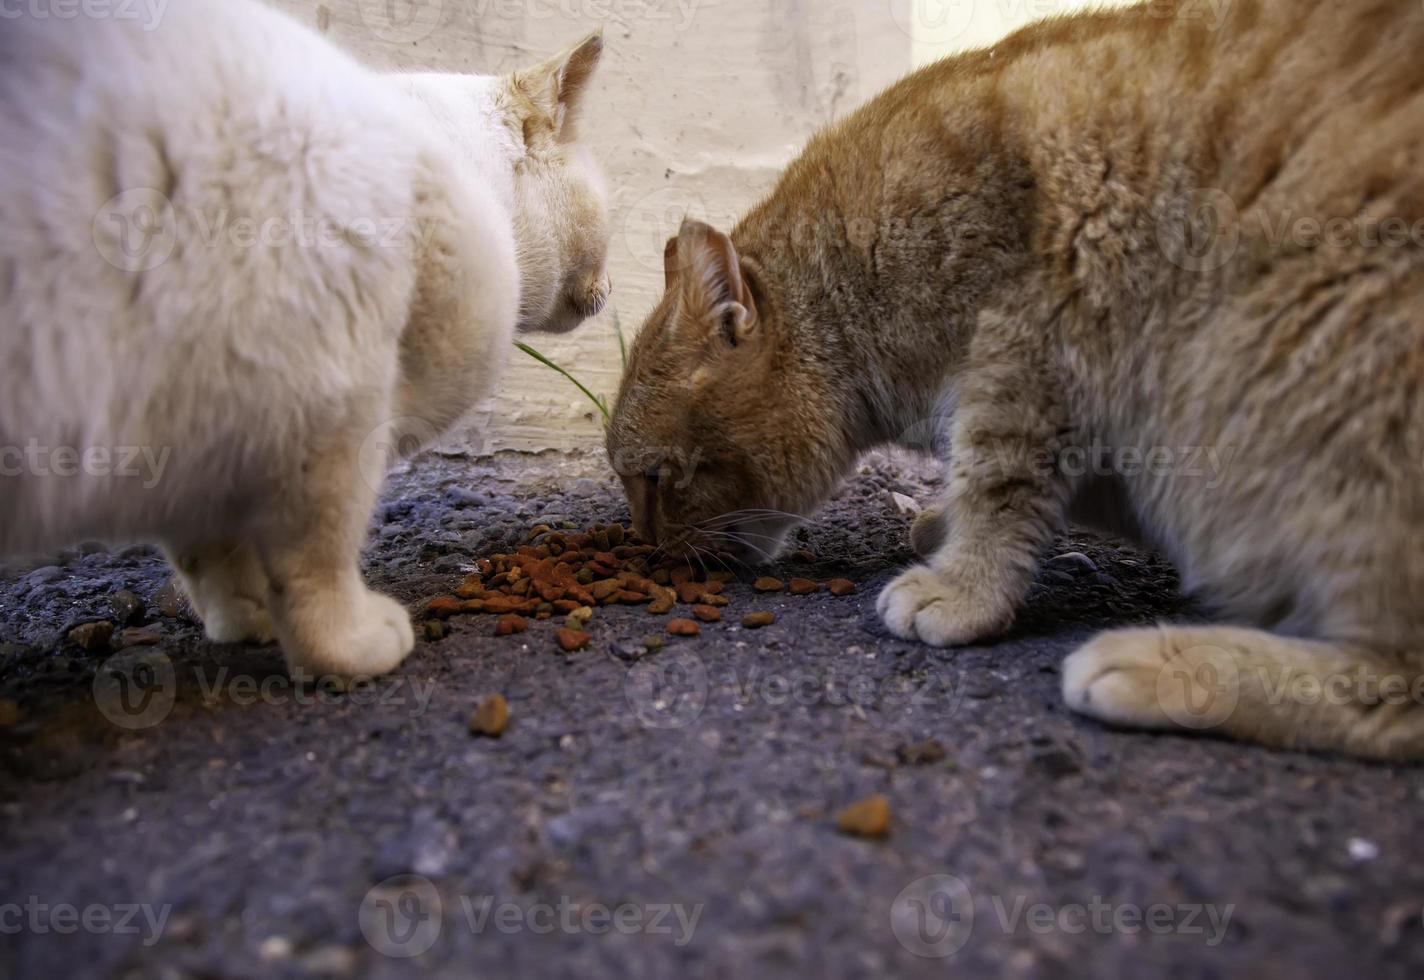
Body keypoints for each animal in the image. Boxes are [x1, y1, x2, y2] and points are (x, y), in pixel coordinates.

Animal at [0, 0, 612, 678]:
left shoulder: (196, 438)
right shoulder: (328, 405)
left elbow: (213, 557)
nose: (612, 288)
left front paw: (248, 623)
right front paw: (346, 646)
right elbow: (318, 552)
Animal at [606, 0, 1424, 757]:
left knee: (1395, 687)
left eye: (655, 478)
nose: (649, 546)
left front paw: (962, 584)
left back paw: (1165, 666)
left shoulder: (1025, 349)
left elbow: (999, 488)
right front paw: (945, 523)